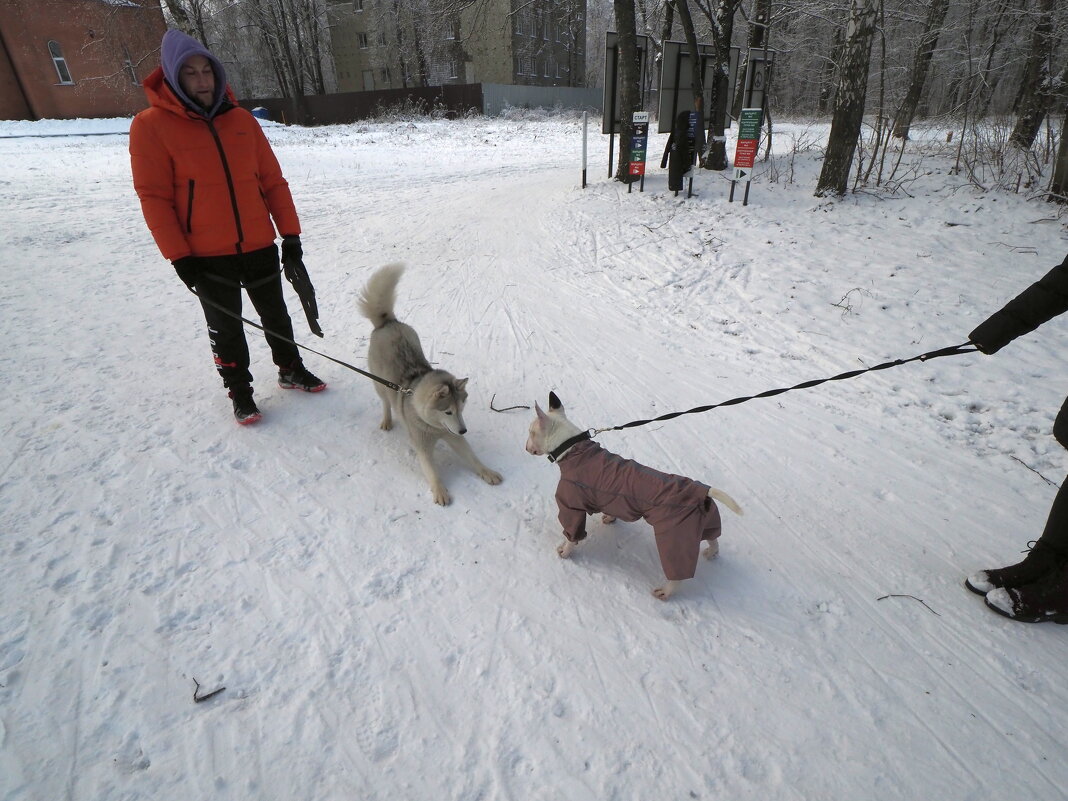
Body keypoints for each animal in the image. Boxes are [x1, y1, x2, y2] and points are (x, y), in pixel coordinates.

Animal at [356, 264, 501, 508]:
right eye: (448, 411)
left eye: (461, 410)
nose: (464, 429)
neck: (434, 427)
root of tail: (388, 322)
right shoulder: (422, 445)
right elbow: (432, 470)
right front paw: (440, 491)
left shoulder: (454, 436)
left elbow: (472, 457)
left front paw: (487, 471)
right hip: (378, 383)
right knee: (385, 402)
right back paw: (387, 420)